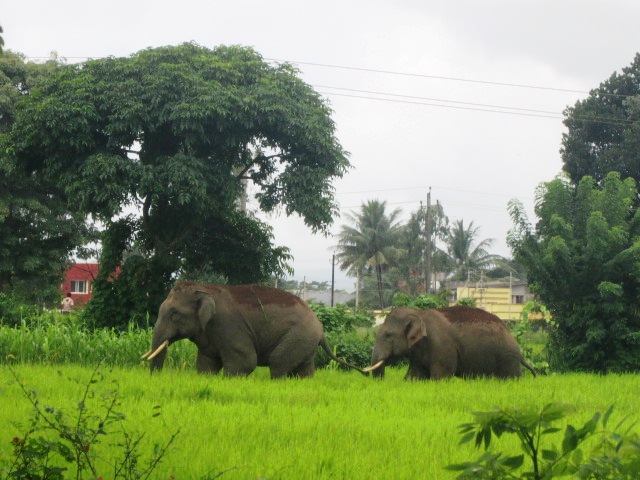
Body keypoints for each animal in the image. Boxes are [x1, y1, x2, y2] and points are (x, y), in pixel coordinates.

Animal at [142, 282, 362, 378]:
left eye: (174, 314)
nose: (156, 379)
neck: (204, 288)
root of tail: (321, 328)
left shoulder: (229, 326)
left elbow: (245, 362)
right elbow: (206, 364)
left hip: (298, 336)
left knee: (278, 363)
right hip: (306, 343)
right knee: (304, 369)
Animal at [364, 306, 536, 380]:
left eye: (388, 335)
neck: (418, 313)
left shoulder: (442, 346)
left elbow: (441, 375)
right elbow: (415, 375)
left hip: (507, 358)